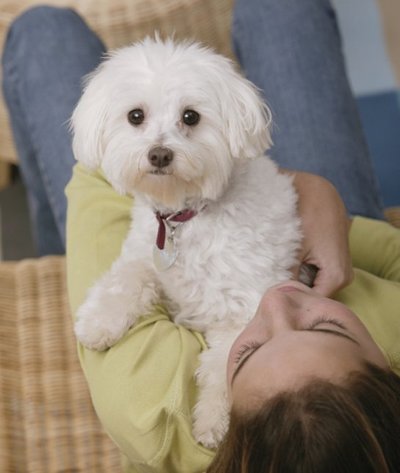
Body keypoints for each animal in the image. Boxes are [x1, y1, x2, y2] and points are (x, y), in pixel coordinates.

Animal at [72, 37, 300, 446]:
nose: (160, 154)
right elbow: (125, 278)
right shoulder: (144, 254)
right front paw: (98, 322)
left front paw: (213, 422)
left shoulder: (245, 310)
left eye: (191, 117)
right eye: (135, 116)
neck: (185, 218)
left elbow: (225, 367)